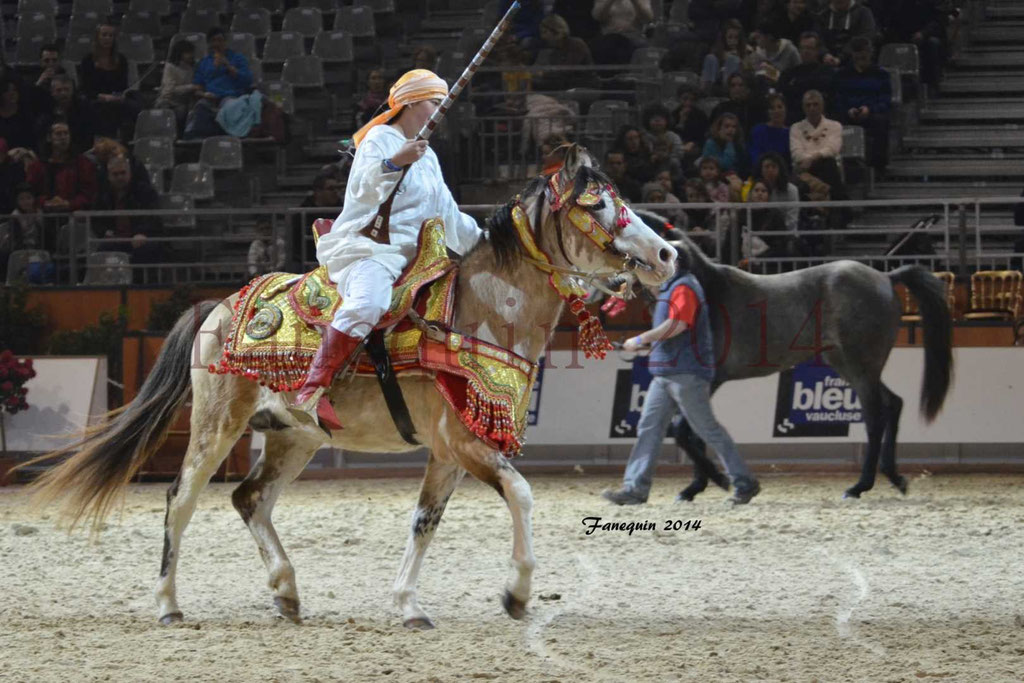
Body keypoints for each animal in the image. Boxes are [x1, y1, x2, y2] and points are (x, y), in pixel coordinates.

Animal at [19, 148, 675, 630]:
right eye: (599, 205)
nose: (667, 252)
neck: (478, 312)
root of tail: (217, 307)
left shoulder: (449, 451)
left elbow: (424, 521)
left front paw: (409, 604)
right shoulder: (464, 445)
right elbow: (521, 494)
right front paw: (516, 592)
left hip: (295, 437)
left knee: (251, 498)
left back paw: (286, 593)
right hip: (215, 426)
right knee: (180, 500)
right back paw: (168, 605)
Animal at [634, 215, 954, 501]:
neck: (707, 290)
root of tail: (886, 277)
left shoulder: (708, 380)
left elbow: (687, 431)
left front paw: (720, 482)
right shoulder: (697, 384)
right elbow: (694, 432)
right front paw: (695, 487)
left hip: (861, 369)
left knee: (876, 418)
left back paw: (859, 486)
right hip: (850, 366)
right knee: (893, 404)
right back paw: (894, 478)